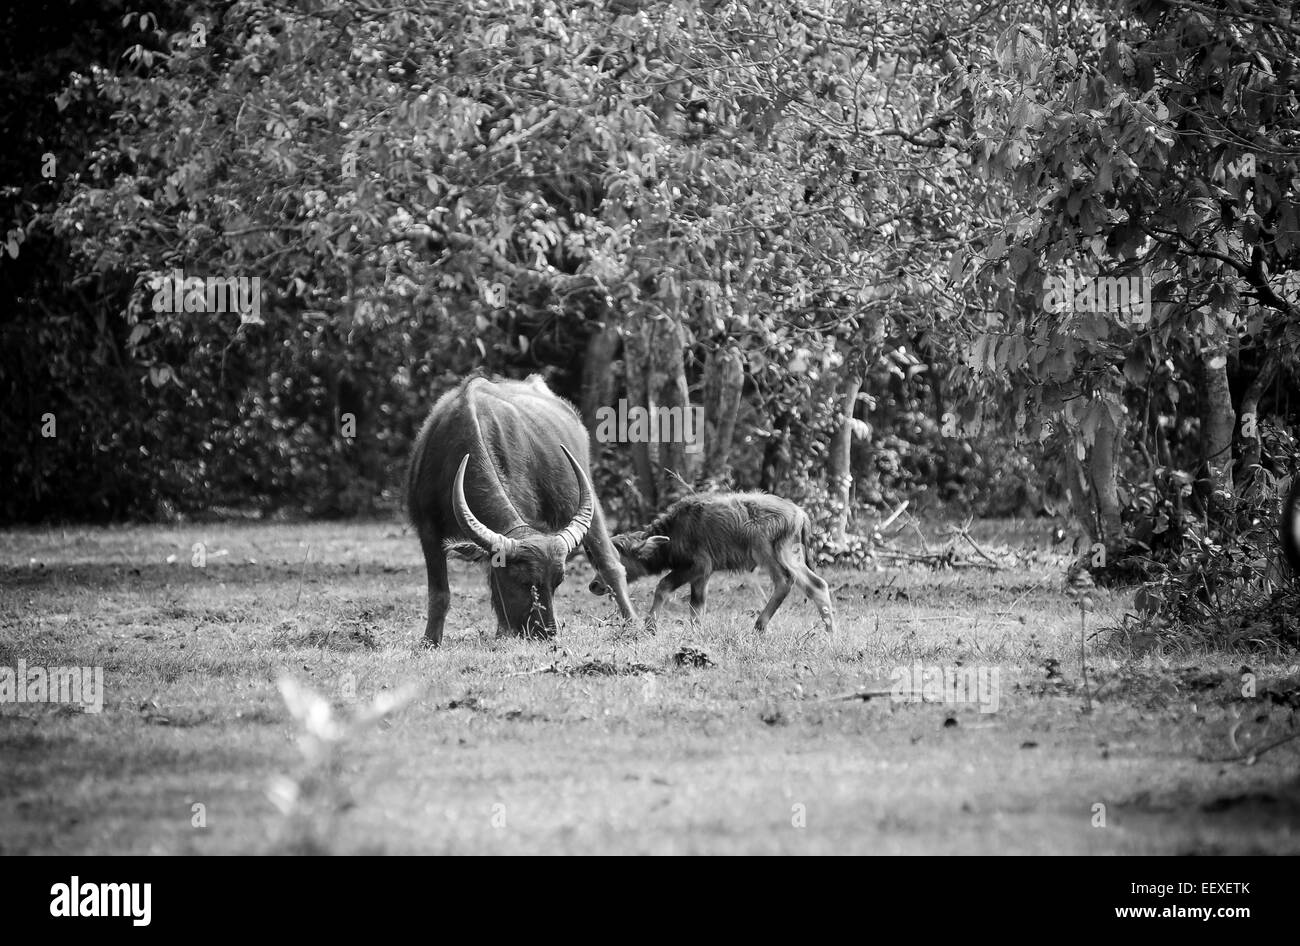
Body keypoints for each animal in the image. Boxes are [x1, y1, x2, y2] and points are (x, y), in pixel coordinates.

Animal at [408, 376, 636, 644]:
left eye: (558, 582)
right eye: (521, 580)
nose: (547, 632)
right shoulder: (427, 529)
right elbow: (440, 593)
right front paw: (430, 641)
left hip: (582, 493)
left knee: (610, 562)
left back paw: (634, 623)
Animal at [591, 492, 837, 634]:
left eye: (616, 559)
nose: (594, 585)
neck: (675, 531)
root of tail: (799, 513)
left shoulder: (698, 566)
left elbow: (662, 586)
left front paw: (651, 626)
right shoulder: (703, 575)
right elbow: (697, 605)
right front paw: (696, 634)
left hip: (767, 552)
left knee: (785, 580)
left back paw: (759, 626)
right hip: (792, 555)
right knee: (817, 585)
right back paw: (830, 632)